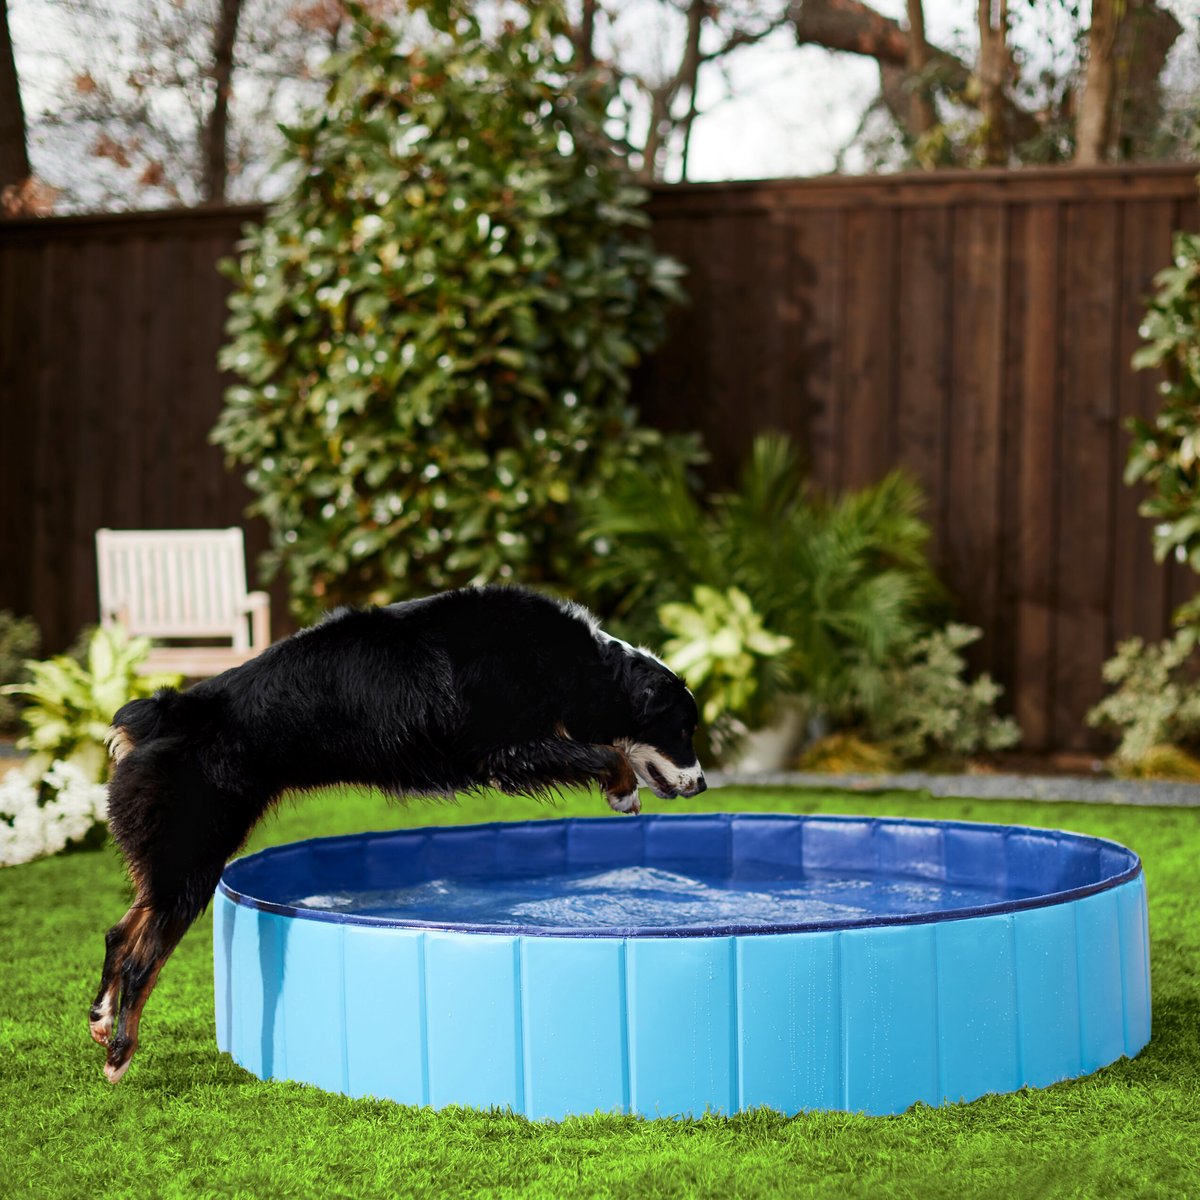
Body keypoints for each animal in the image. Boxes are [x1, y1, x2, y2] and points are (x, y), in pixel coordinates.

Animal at [91, 585, 700, 1084]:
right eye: (684, 728)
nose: (700, 783)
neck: (578, 664)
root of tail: (163, 712)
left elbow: (601, 748)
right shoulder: (502, 750)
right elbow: (604, 752)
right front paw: (622, 791)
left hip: (174, 859)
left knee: (122, 932)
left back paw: (101, 1019)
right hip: (192, 855)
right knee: (144, 957)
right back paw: (121, 1051)